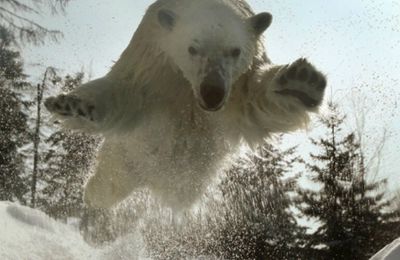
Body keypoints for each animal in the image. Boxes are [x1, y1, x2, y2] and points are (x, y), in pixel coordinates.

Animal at [44, 0, 324, 210]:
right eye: (192, 48)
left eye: (234, 51)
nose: (212, 93)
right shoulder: (152, 60)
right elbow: (126, 92)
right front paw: (71, 104)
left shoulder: (238, 83)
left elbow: (253, 102)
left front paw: (301, 83)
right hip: (126, 155)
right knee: (108, 183)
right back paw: (91, 199)